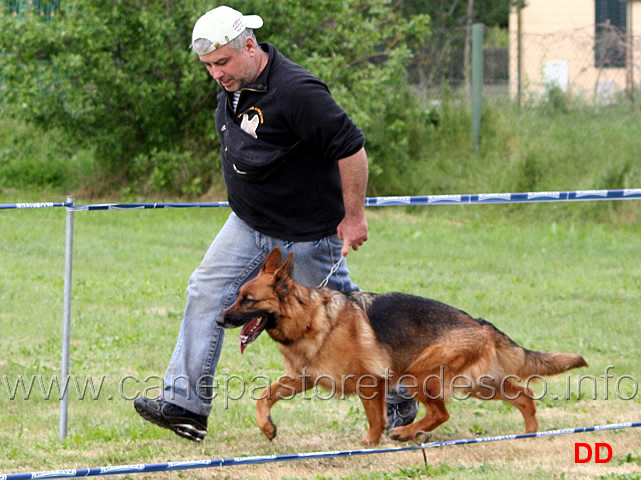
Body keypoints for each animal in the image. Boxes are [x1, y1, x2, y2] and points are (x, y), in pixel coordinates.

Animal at [220, 249, 584, 444]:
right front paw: (267, 427)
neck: (309, 318)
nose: (220, 320)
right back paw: (529, 433)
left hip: (418, 376)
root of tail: (480, 323)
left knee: (440, 412)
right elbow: (263, 396)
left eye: (248, 300)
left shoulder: (370, 384)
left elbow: (376, 420)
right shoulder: (302, 378)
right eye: (237, 295)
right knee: (524, 395)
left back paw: (406, 432)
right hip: (479, 384)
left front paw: (370, 444)